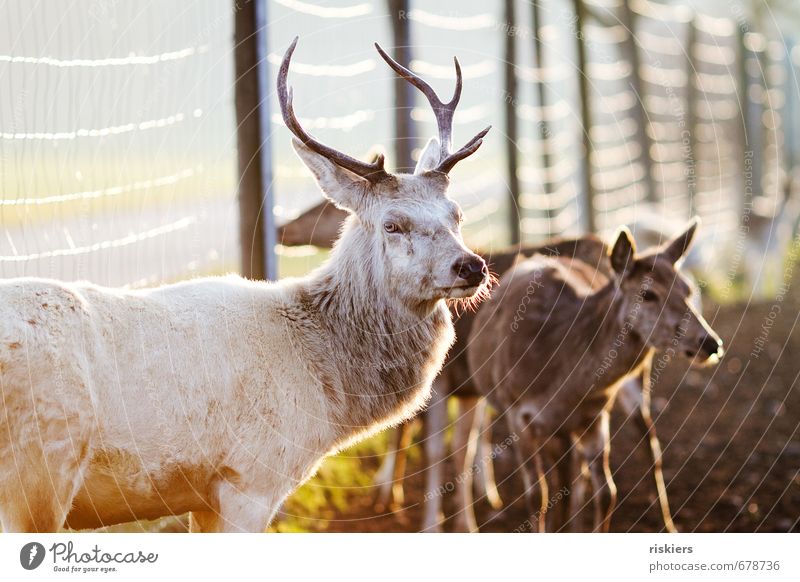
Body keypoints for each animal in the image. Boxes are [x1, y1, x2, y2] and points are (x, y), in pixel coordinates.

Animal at [466, 222, 720, 532]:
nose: (710, 343)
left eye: (688, 288)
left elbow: (607, 492)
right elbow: (537, 495)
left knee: (636, 446)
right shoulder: (517, 412)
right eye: (648, 294)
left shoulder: (593, 416)